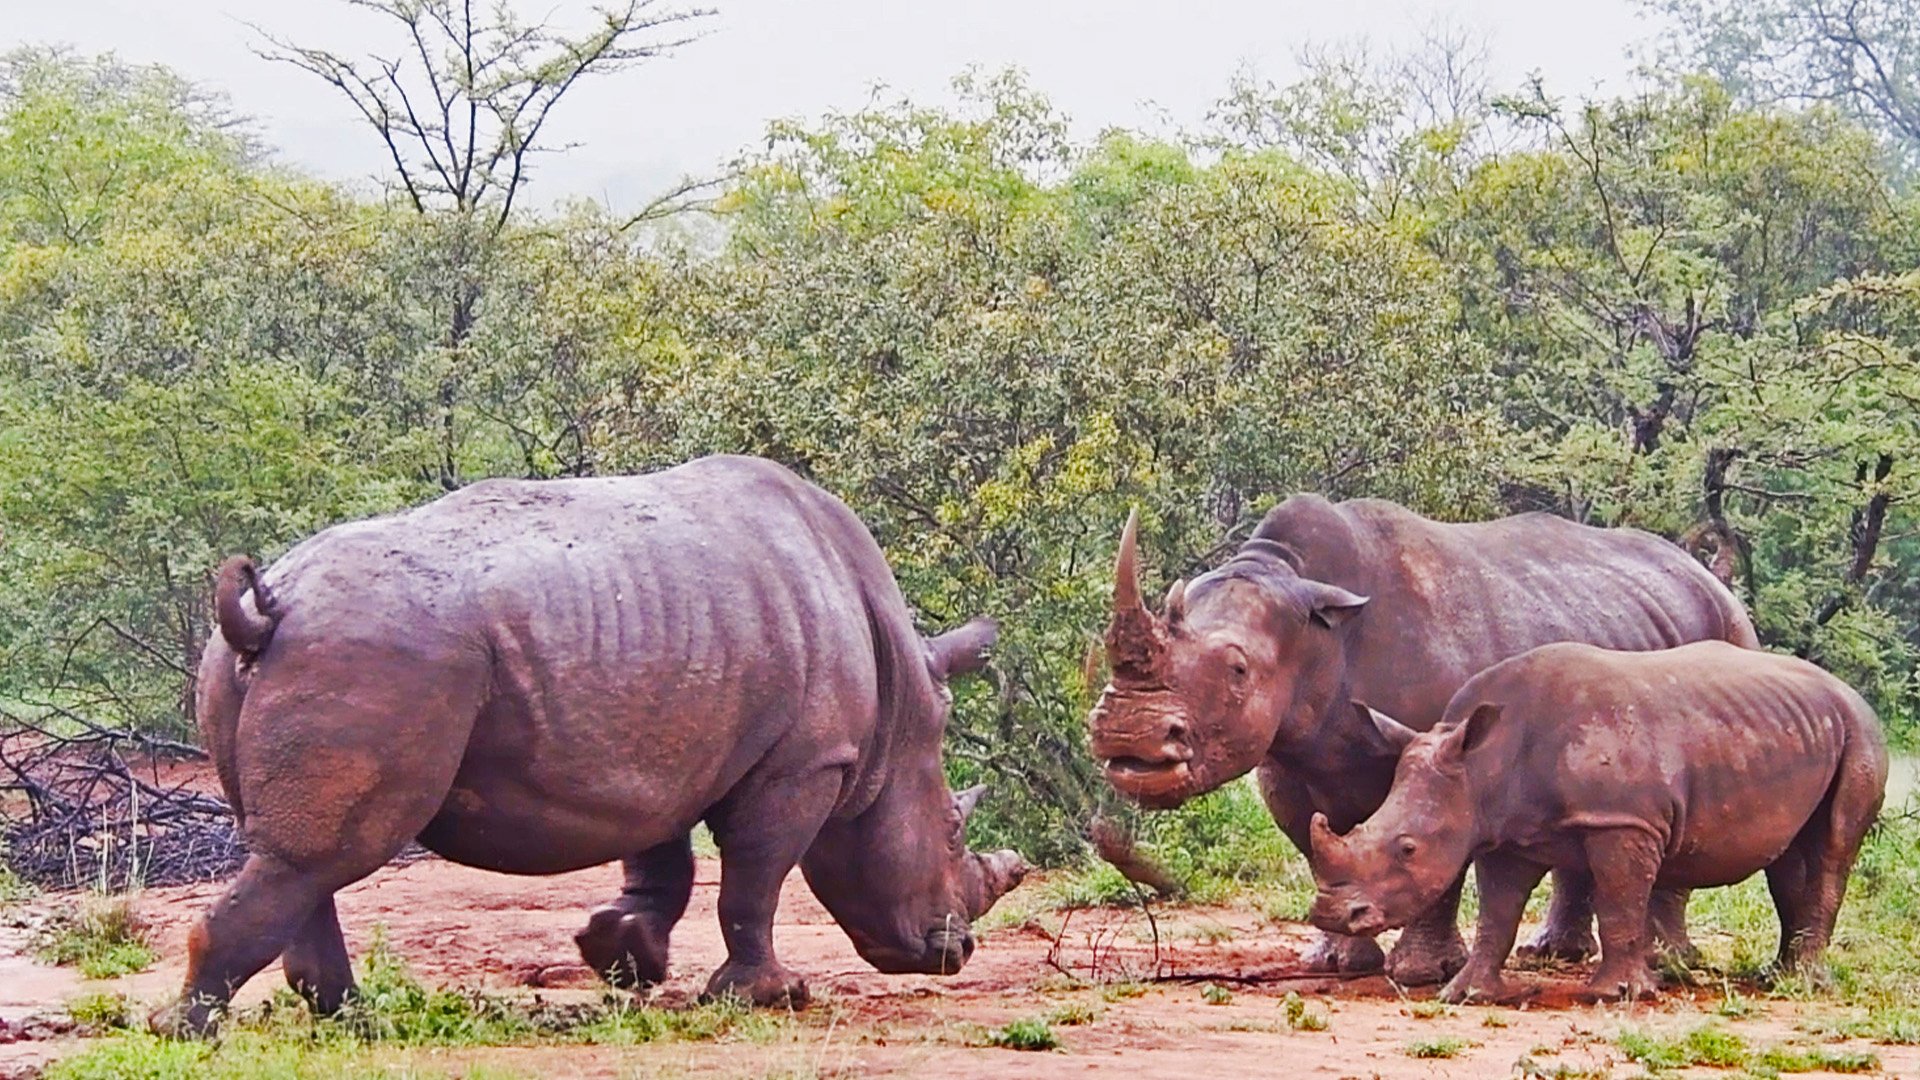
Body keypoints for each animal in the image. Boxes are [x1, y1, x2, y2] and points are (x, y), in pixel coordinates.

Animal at [151, 455, 1028, 1037]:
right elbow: (755, 880)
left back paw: (355, 1021)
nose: (956, 950)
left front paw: (621, 957)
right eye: (953, 830)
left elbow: (663, 858)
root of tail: (270, 608)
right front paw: (771, 996)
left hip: (254, 663)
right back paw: (191, 1033)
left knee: (299, 857)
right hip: (377, 653)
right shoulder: (807, 763)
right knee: (321, 856)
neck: (897, 708)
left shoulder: (664, 747)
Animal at [1088, 496, 1757, 983]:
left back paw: (1668, 962)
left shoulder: (1442, 751)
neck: (1314, 628)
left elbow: (1435, 843)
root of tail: (1710, 578)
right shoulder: (1286, 759)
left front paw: (1422, 973)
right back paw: (1553, 955)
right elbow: (1312, 842)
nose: (1127, 736)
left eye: (1237, 669)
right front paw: (1335, 962)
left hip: (1729, 631)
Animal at [1308, 641, 1887, 1003]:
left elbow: (1617, 901)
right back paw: (1778, 976)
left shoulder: (1623, 821)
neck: (1483, 764)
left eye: (1407, 848)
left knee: (1832, 847)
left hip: (1860, 732)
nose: (1331, 915)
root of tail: (1852, 693)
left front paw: (1617, 995)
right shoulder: (1501, 832)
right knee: (1790, 856)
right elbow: (1498, 911)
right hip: (1793, 728)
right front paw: (1467, 994)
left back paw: (1804, 985)